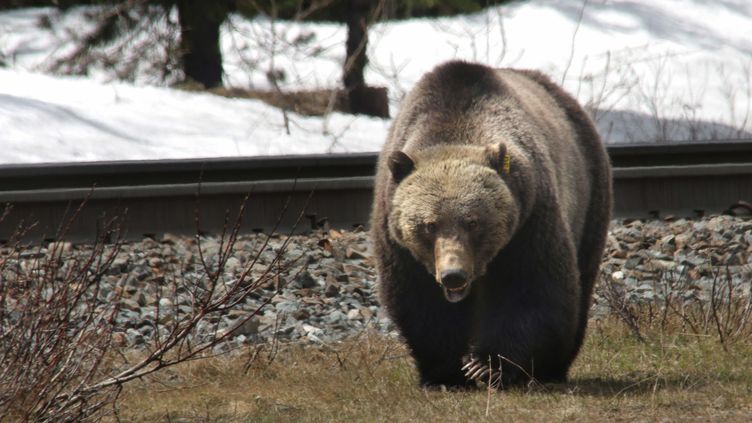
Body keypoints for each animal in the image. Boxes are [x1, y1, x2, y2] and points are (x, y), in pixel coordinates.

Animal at [370, 61, 612, 390]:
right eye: (429, 225)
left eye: (473, 222)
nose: (453, 275)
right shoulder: (398, 241)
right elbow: (419, 302)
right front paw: (446, 373)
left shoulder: (529, 222)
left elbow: (530, 289)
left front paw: (486, 367)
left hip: (589, 197)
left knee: (580, 280)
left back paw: (552, 368)